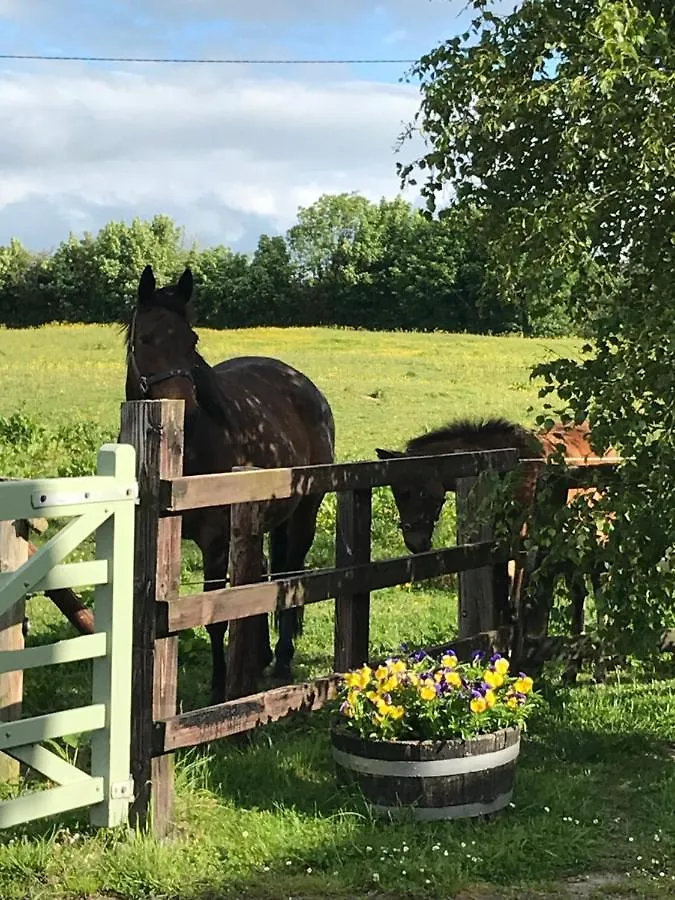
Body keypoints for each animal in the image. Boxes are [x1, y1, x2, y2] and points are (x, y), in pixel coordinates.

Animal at [124, 264, 336, 700]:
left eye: (192, 340)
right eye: (146, 338)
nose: (185, 406)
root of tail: (305, 385)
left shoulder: (216, 542)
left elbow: (216, 617)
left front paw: (220, 690)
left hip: (305, 513)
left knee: (288, 576)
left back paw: (282, 658)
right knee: (261, 575)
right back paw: (261, 654)